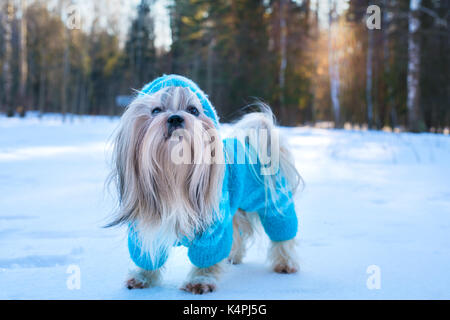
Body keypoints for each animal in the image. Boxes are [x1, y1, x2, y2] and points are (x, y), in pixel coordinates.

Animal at [107, 74, 300, 294]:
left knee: (283, 233)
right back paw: (233, 257)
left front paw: (200, 281)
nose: (175, 118)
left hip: (274, 203)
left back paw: (285, 263)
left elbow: (207, 258)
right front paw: (142, 277)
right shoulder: (145, 228)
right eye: (156, 110)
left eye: (193, 110)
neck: (174, 174)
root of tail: (256, 144)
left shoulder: (212, 227)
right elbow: (148, 256)